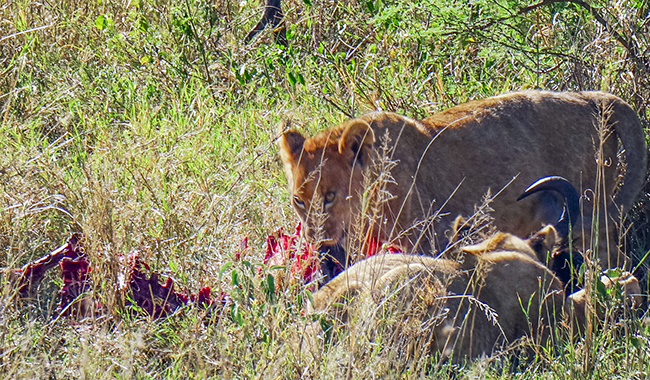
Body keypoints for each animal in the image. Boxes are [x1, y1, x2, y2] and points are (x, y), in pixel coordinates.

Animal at [278, 90, 644, 278]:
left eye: (330, 196)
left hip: (591, 215)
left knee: (618, 261)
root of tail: (593, 98)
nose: (315, 239)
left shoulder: (432, 238)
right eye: (299, 201)